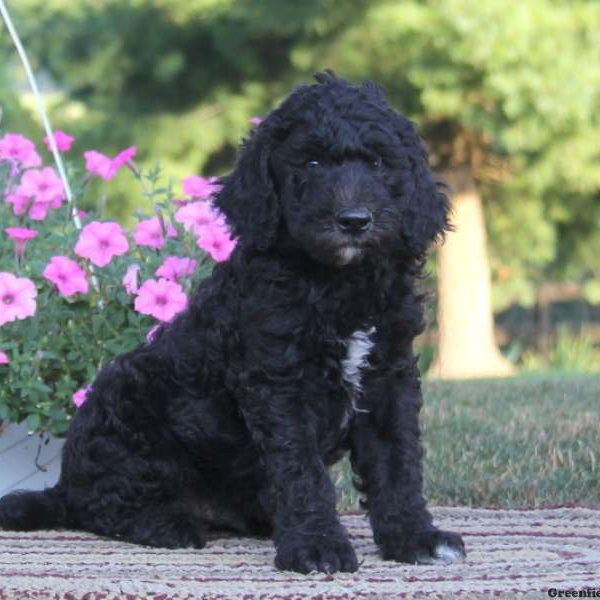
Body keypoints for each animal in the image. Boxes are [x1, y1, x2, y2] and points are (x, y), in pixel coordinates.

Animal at [0, 72, 464, 576]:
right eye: (312, 162)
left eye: (378, 163)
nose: (354, 221)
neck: (338, 284)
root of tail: (64, 483)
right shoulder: (279, 381)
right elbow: (302, 469)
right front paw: (318, 546)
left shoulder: (389, 376)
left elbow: (398, 461)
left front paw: (415, 537)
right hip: (122, 401)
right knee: (101, 504)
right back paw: (167, 525)